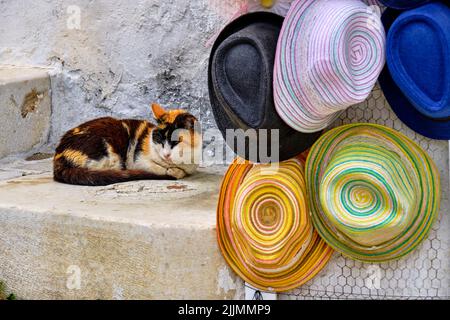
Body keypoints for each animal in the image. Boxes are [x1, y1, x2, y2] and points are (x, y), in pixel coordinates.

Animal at [52, 104, 200, 186]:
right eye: (159, 139)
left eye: (175, 142)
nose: (166, 154)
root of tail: (59, 155)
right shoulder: (139, 161)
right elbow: (160, 169)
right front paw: (172, 171)